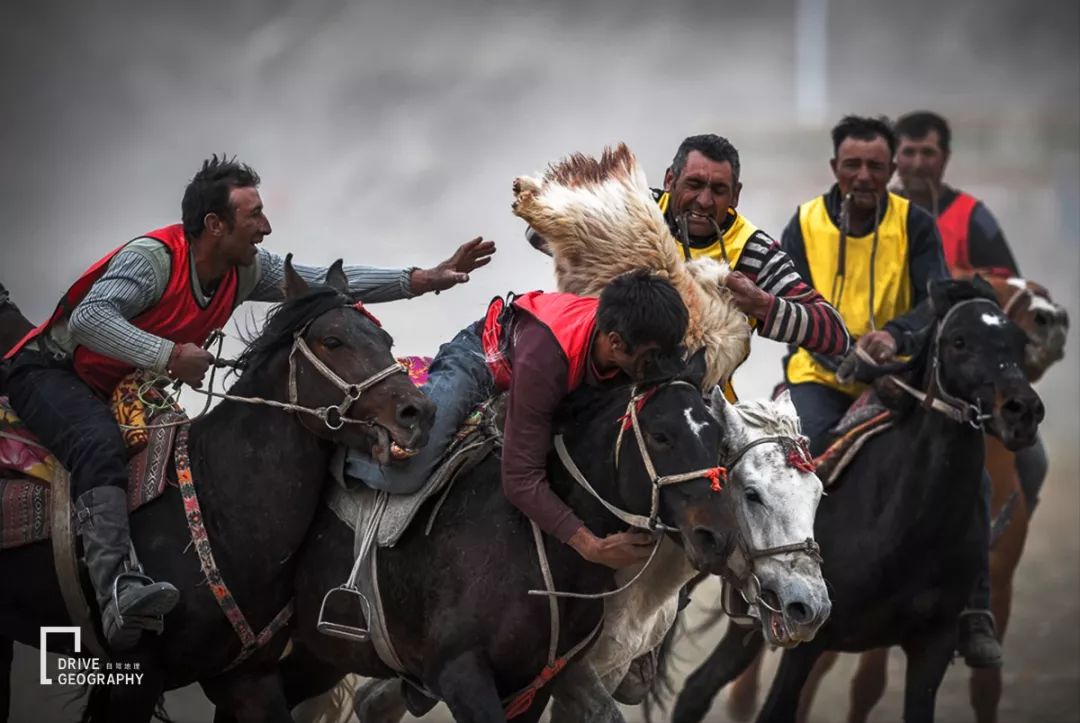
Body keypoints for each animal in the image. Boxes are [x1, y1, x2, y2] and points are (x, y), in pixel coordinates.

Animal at [243, 345, 743, 717]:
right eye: (661, 435)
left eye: (719, 438)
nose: (717, 537)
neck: (537, 544)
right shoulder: (461, 675)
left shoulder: (534, 688)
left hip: (320, 655)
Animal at [673, 278, 1045, 721]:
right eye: (959, 340)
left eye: (1019, 340)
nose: (1023, 412)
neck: (906, 528)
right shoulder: (810, 640)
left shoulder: (932, 647)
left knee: (697, 688)